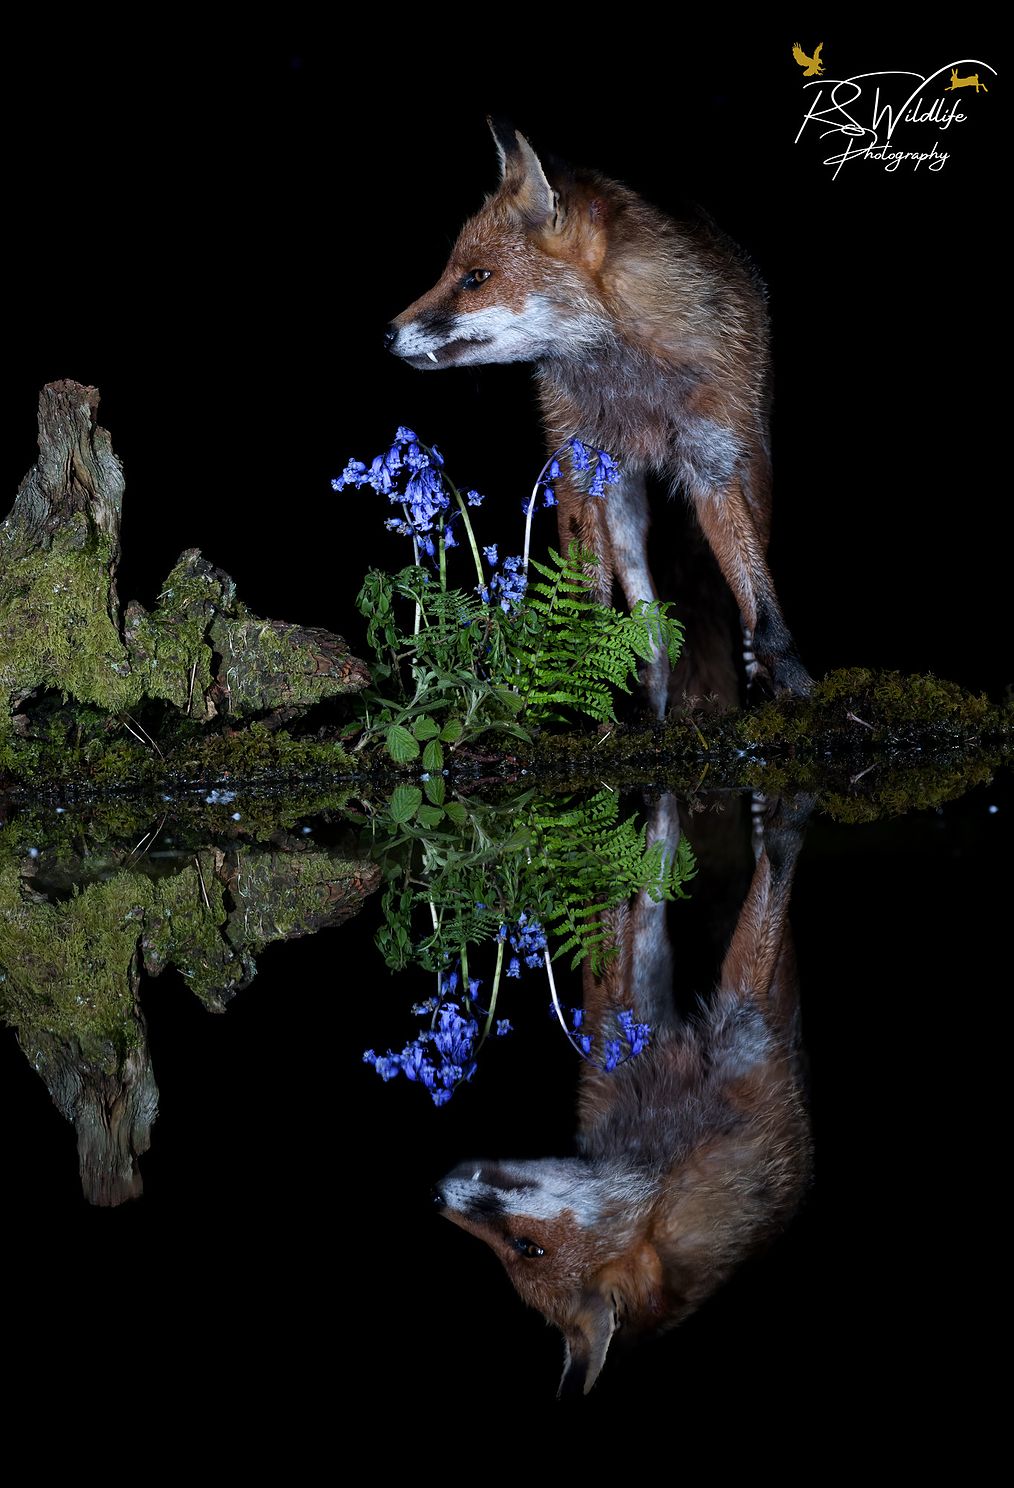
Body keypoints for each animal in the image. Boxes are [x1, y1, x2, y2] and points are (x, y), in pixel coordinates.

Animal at [386, 118, 813, 713]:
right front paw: (576, 695)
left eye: (476, 277)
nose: (387, 334)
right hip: (622, 502)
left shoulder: (714, 464)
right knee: (648, 624)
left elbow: (761, 598)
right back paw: (650, 704)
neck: (635, 388)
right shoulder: (577, 466)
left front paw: (797, 683)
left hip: (753, 467)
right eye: (453, 271)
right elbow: (586, 594)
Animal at [434, 791, 813, 1396]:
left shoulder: (635, 1036)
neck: (653, 1161)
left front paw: (649, 816)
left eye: (526, 1248)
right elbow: (726, 904)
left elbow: (643, 899)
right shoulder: (733, 1027)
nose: (437, 1197)